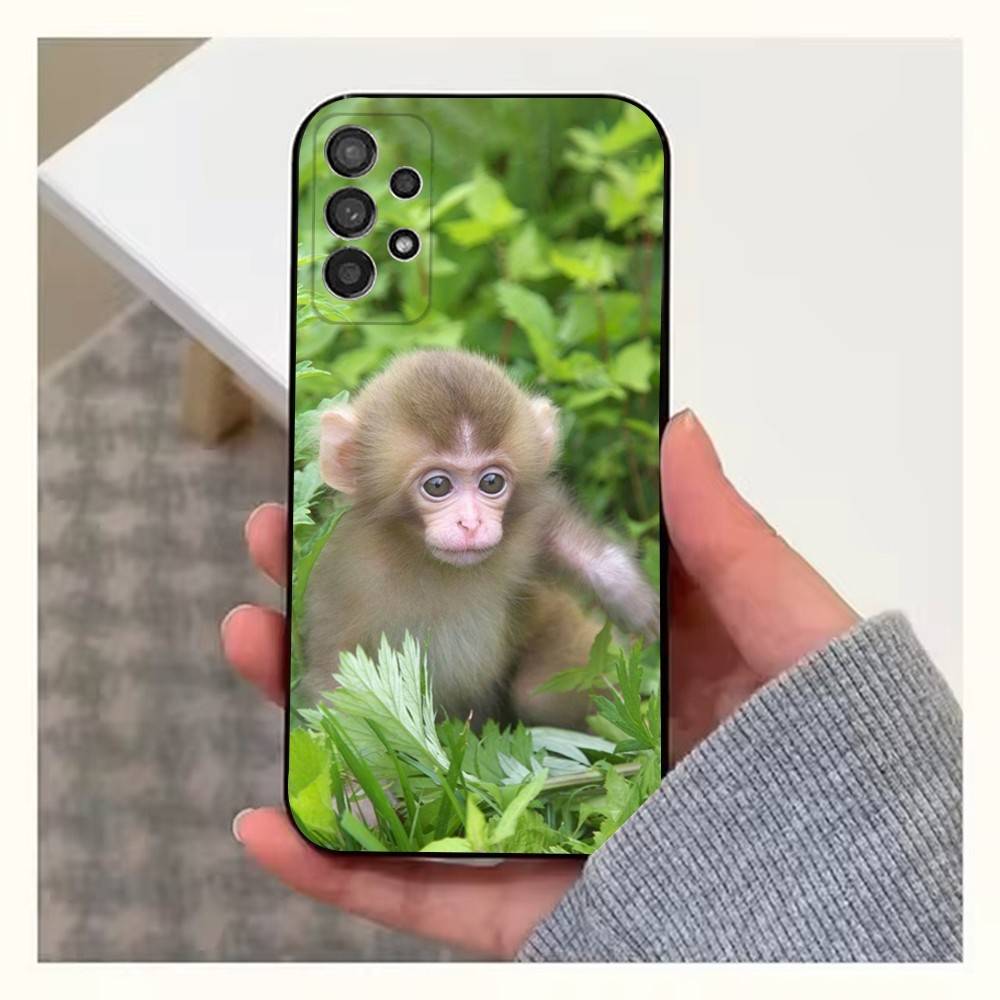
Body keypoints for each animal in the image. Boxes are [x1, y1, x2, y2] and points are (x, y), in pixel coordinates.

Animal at [300, 348, 659, 730]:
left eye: (491, 482)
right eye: (437, 485)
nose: (471, 523)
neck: (426, 558)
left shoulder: (523, 534)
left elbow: (551, 528)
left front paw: (626, 590)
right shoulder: (341, 581)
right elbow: (338, 687)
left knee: (536, 696)